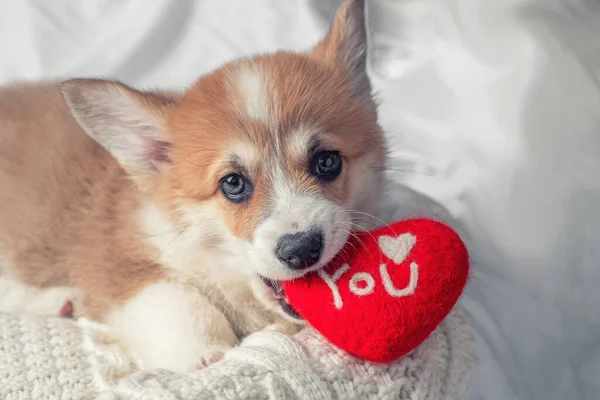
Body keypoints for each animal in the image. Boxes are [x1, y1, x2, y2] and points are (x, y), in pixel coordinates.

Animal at [0, 0, 384, 372]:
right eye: (233, 183)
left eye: (327, 162)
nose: (302, 249)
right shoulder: (116, 262)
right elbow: (180, 304)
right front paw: (208, 353)